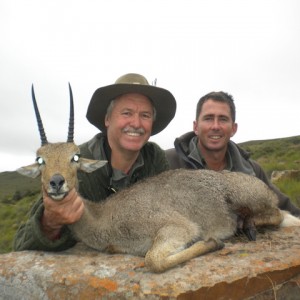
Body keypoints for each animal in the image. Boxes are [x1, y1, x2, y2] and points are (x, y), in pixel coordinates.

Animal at [17, 84, 300, 272]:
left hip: (246, 198)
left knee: (276, 214)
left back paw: (246, 226)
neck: (103, 217)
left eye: (75, 156)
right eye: (40, 159)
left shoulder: (177, 227)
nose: (56, 183)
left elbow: (153, 261)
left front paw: (212, 241)